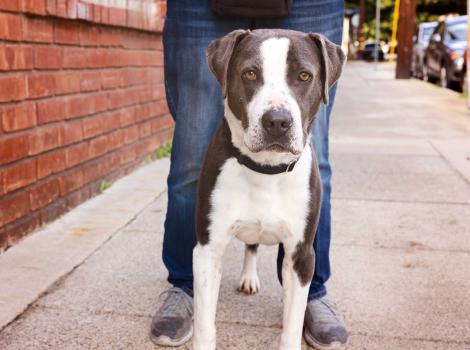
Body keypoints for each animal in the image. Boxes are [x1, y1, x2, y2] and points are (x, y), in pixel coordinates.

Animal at [192, 28, 346, 348]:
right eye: (250, 73)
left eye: (304, 76)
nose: (277, 121)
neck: (266, 170)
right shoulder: (207, 250)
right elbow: (204, 323)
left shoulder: (302, 255)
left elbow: (293, 323)